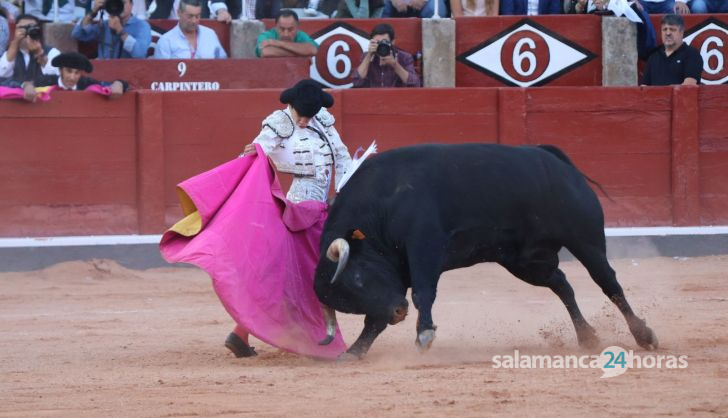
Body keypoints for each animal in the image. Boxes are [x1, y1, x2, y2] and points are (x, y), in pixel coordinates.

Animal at [314, 145, 660, 360]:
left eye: (358, 277)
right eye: (348, 302)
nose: (398, 312)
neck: (382, 203)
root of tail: (555, 160)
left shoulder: (424, 247)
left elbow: (423, 293)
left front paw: (424, 334)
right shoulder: (395, 273)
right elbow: (374, 320)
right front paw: (354, 351)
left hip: (585, 241)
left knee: (609, 283)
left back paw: (644, 334)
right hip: (526, 261)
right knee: (562, 283)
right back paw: (587, 337)